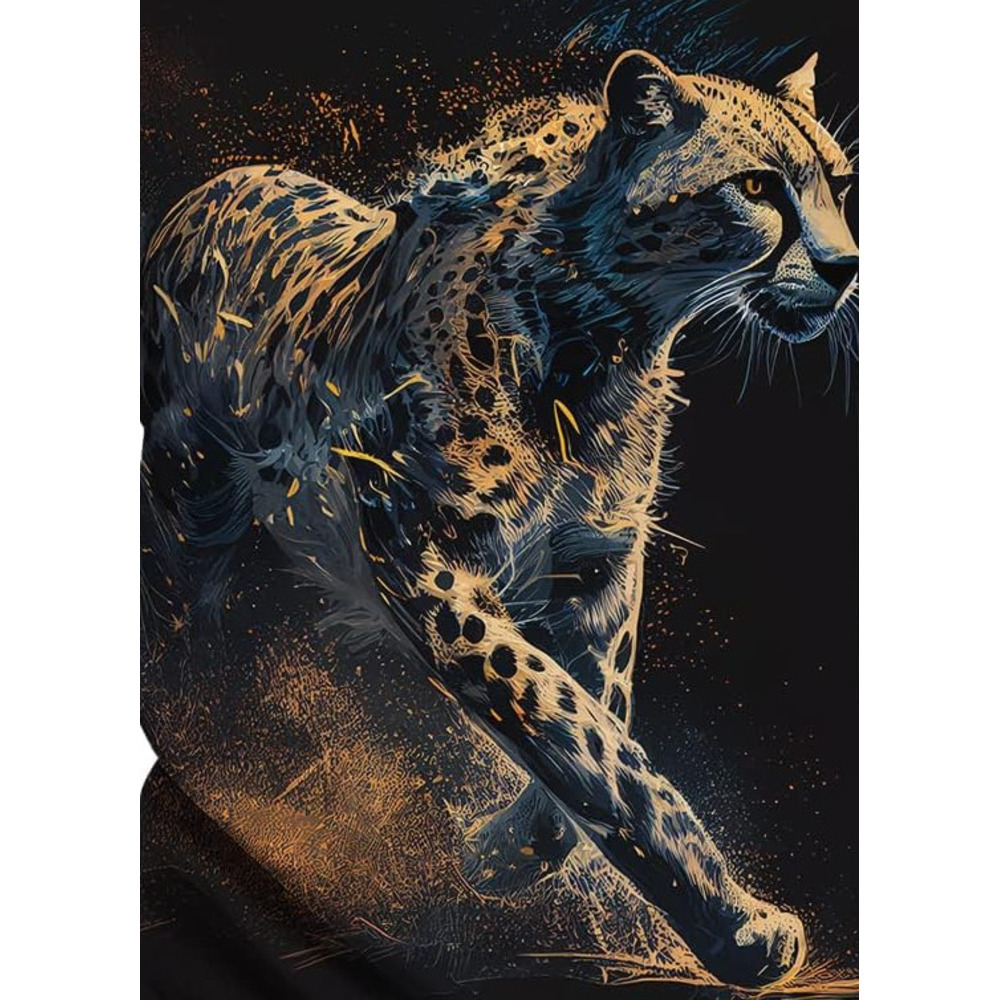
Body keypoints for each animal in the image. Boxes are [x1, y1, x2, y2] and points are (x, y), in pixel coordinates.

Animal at [141, 50, 858, 988]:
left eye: (840, 185)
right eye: (757, 186)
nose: (847, 266)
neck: (604, 347)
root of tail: (214, 183)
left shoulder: (598, 565)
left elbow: (598, 712)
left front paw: (498, 856)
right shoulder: (425, 560)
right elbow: (576, 728)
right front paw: (738, 925)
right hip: (186, 508)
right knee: (183, 629)